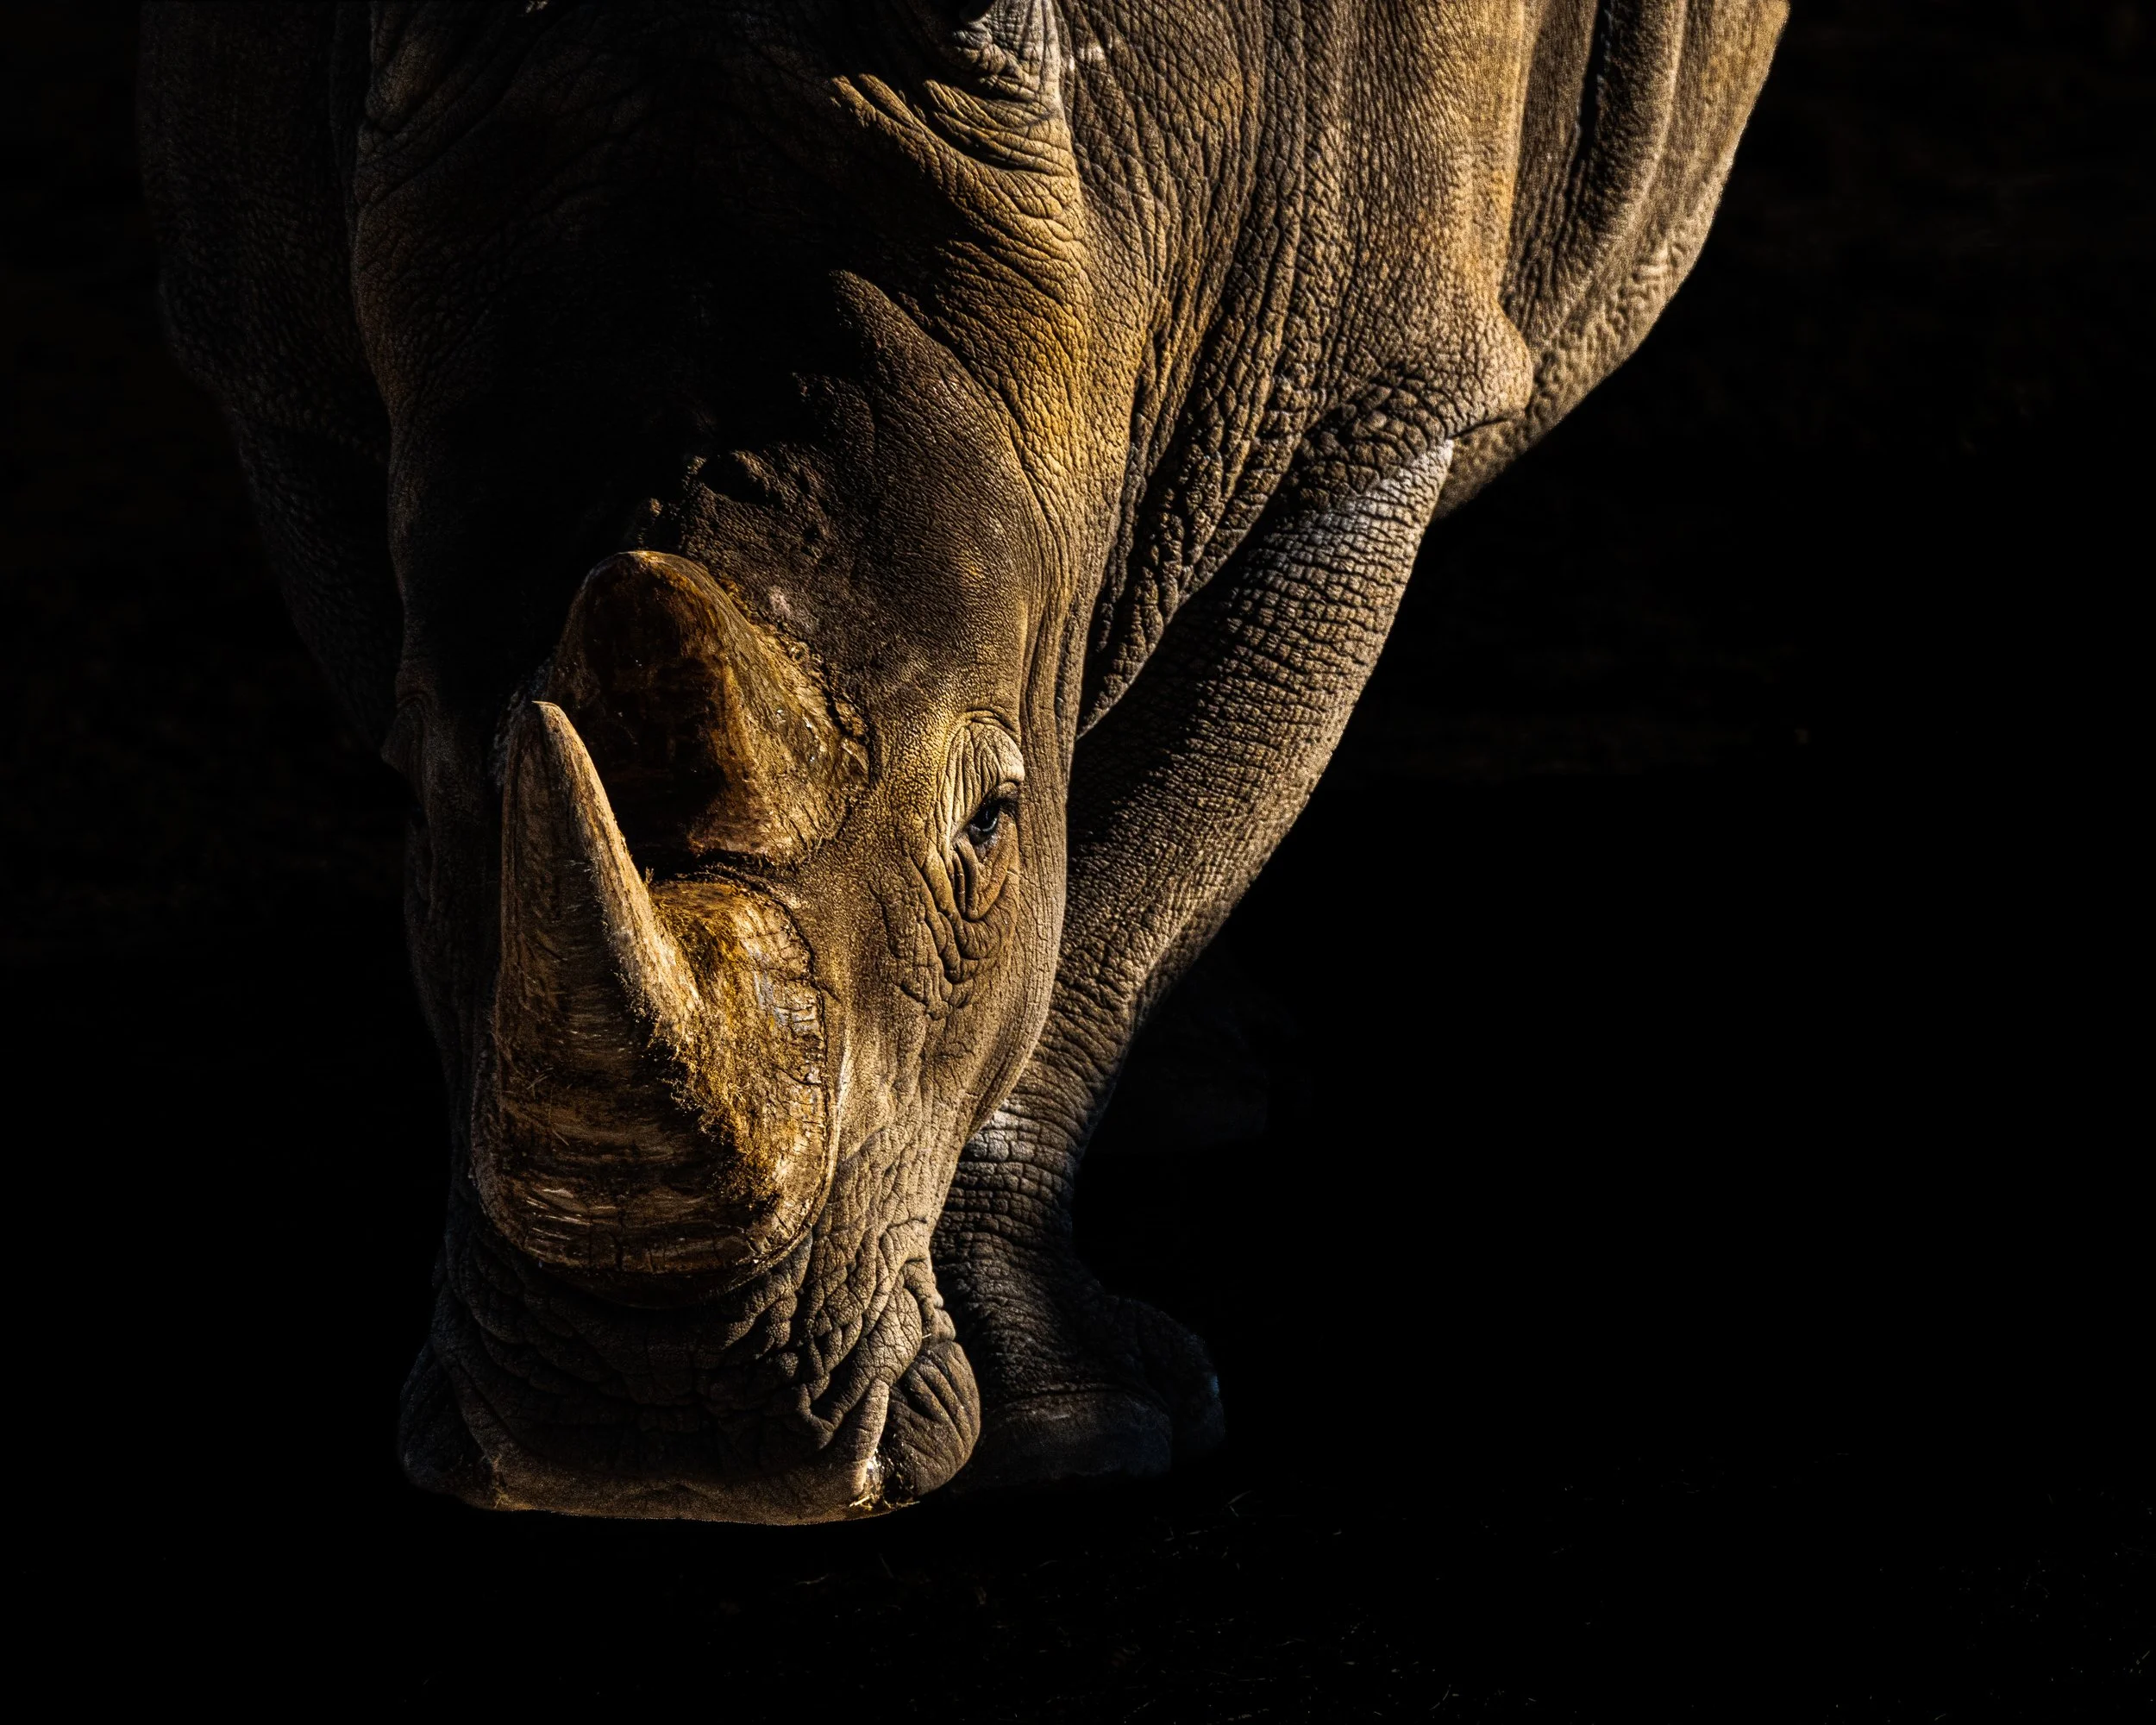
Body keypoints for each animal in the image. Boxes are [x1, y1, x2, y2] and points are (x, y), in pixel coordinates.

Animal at [141, 0, 1783, 1523]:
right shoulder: (271, 362)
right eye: (415, 818)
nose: (652, 1434)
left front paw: (1078, 1438)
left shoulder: (1361, 415)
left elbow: (1121, 908)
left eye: (990, 826)